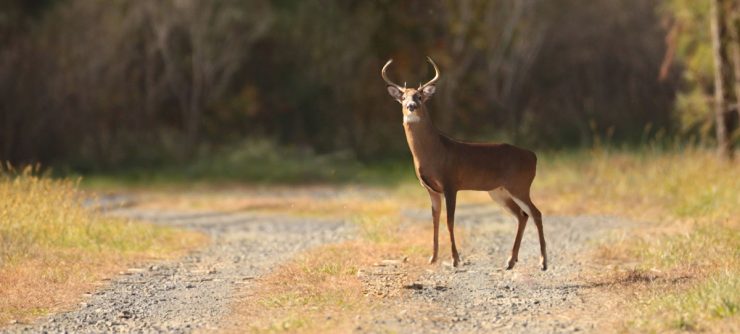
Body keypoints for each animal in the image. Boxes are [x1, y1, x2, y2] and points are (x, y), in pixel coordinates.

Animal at [384, 57, 548, 270]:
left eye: (419, 96)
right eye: (403, 97)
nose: (411, 105)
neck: (435, 152)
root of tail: (533, 156)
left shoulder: (451, 183)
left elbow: (449, 220)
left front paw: (455, 259)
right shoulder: (430, 189)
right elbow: (435, 220)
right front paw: (433, 258)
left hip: (519, 185)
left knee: (536, 213)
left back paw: (543, 262)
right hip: (499, 191)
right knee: (523, 215)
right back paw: (511, 261)